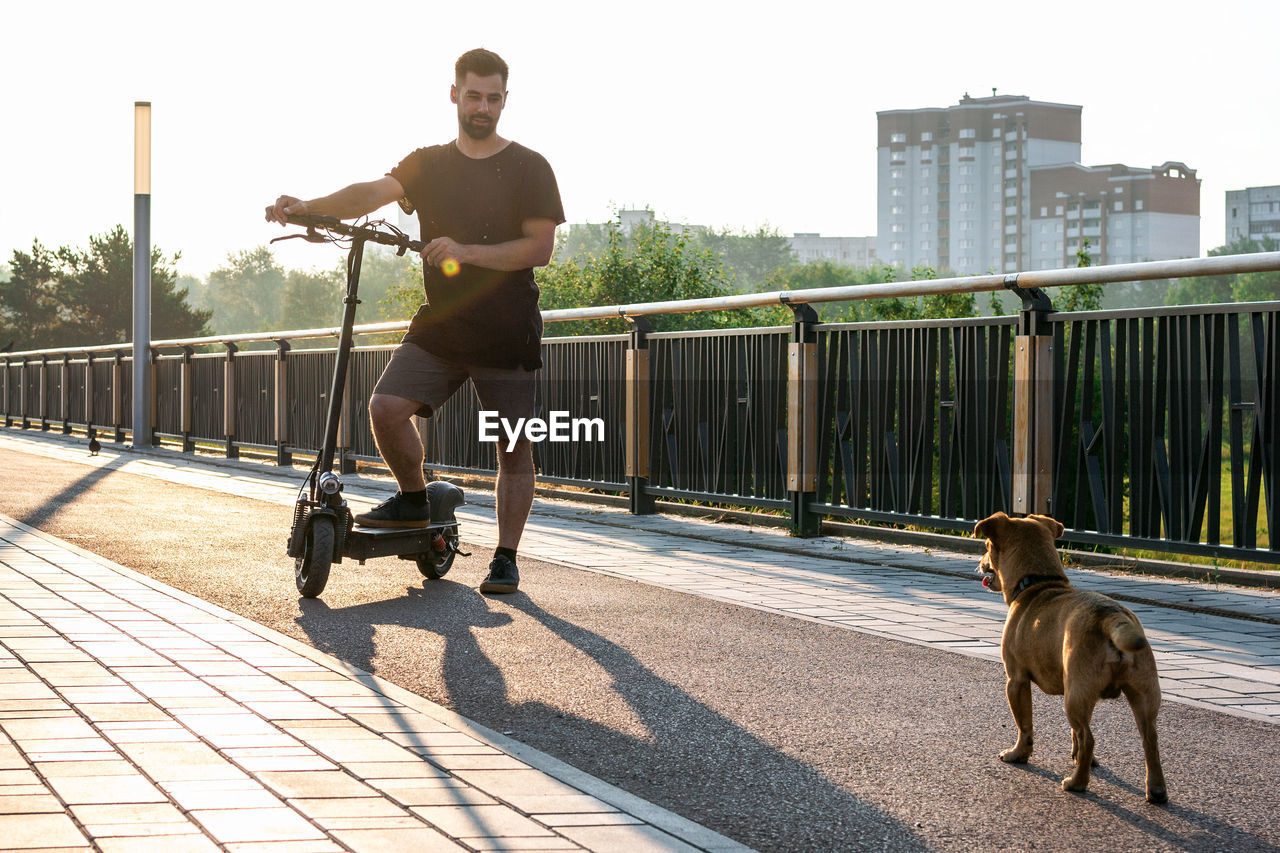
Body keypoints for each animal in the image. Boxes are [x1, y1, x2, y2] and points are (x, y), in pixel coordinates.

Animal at [967, 512, 1172, 804]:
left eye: (986, 546)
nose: (980, 563)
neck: (1039, 582)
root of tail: (1111, 616)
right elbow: (1073, 734)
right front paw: (1078, 758)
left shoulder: (1016, 681)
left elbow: (1024, 725)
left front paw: (1018, 754)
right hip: (1137, 694)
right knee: (1149, 739)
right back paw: (1155, 790)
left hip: (1075, 697)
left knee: (1089, 738)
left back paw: (1077, 782)